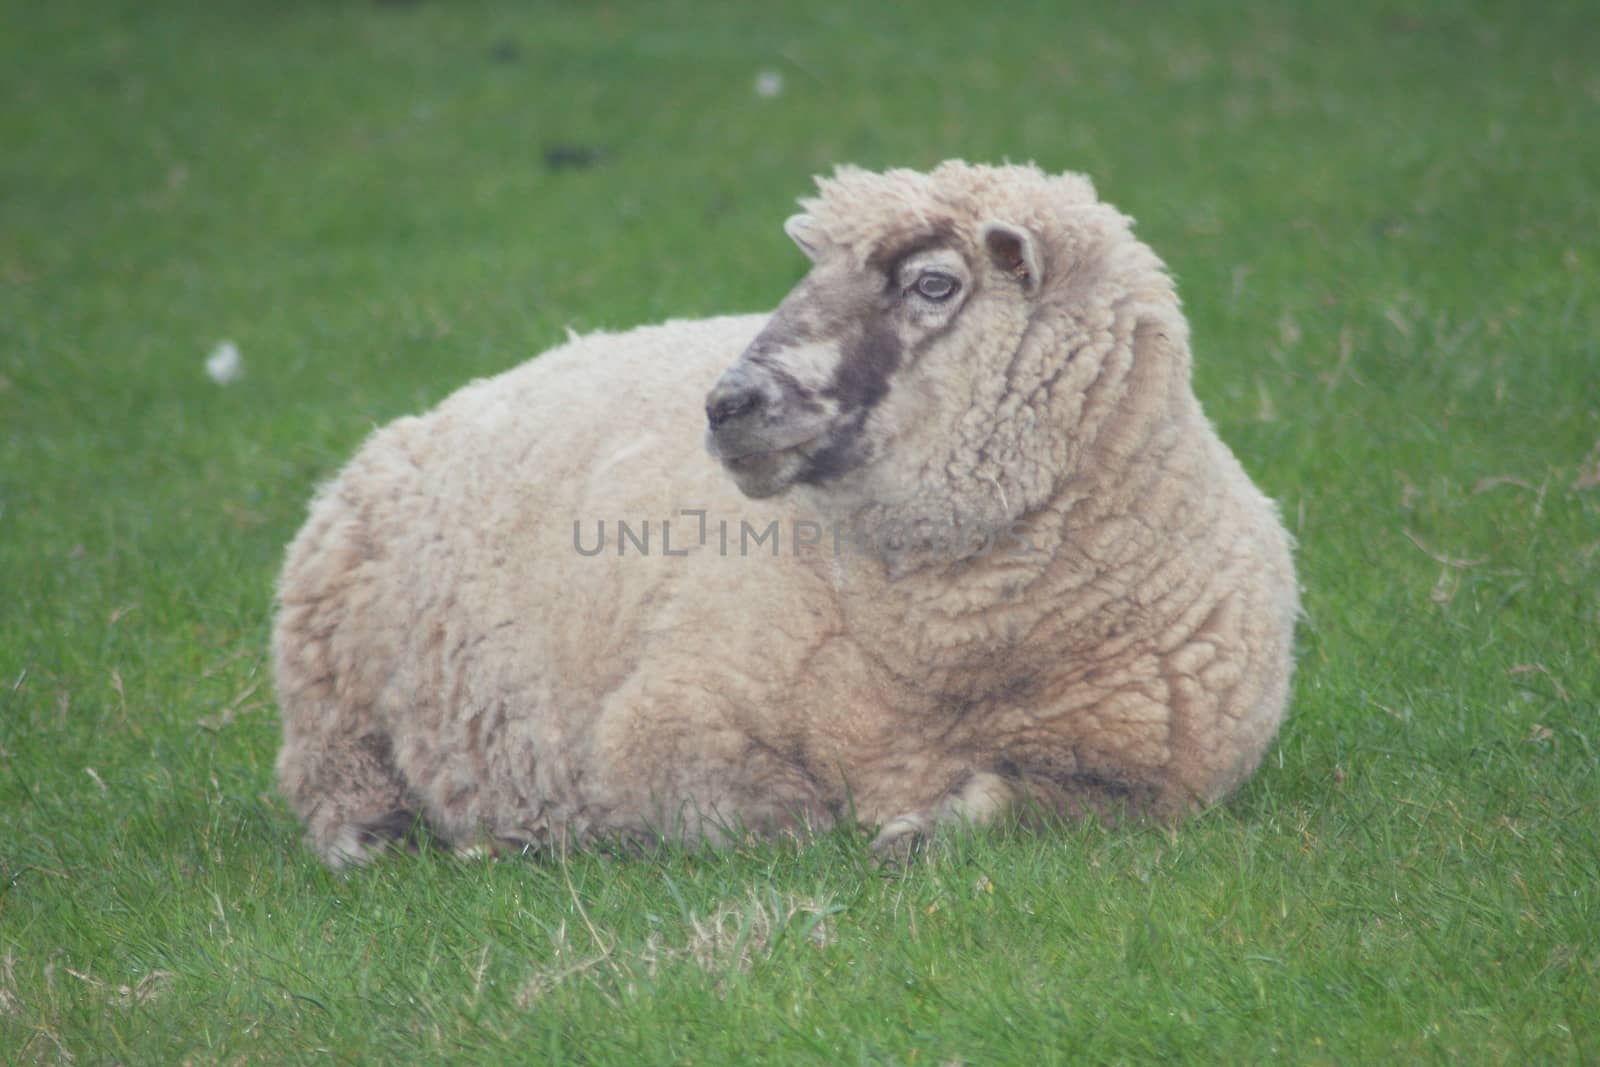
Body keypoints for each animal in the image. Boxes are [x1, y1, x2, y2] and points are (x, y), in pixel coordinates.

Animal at [275, 163, 1299, 870]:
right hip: (333, 694)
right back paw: (411, 838)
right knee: (332, 791)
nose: (727, 403)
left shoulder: (1158, 783)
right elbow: (788, 821)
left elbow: (1014, 807)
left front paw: (921, 830)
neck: (945, 657)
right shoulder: (665, 727)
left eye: (934, 283)